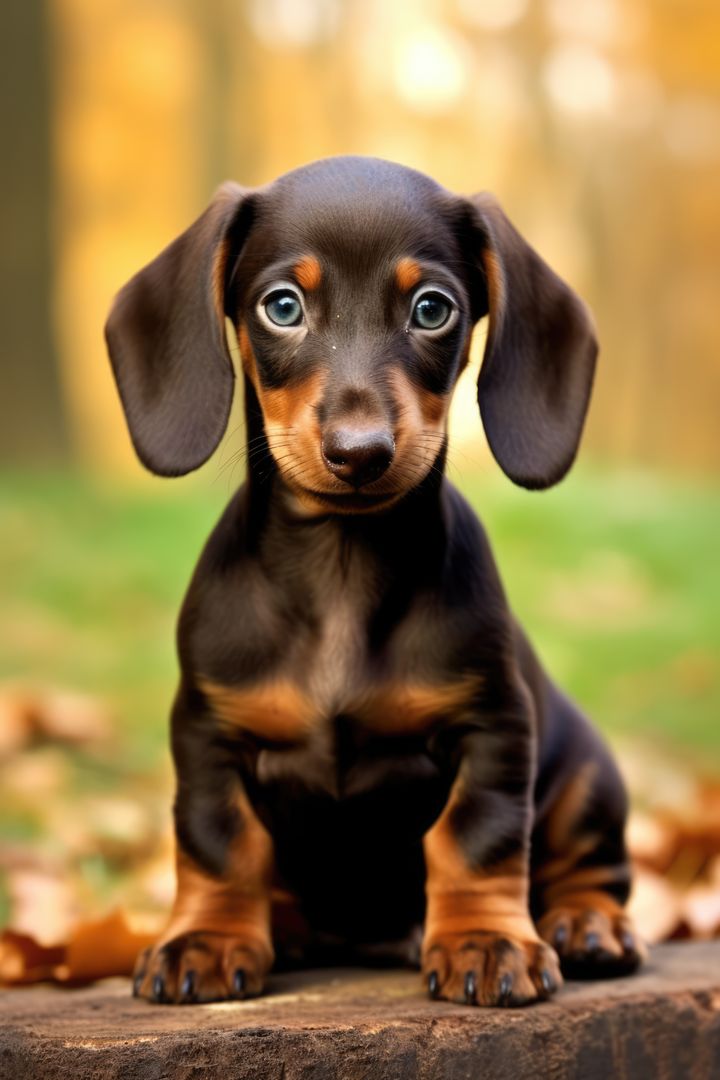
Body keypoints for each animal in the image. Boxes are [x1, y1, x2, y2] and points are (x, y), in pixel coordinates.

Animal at [104, 156, 643, 1006]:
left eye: (432, 309)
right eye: (282, 306)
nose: (359, 452)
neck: (342, 570)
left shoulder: (494, 727)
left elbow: (478, 838)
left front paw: (485, 939)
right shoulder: (207, 731)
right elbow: (219, 842)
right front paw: (206, 940)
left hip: (587, 773)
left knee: (589, 865)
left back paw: (586, 923)